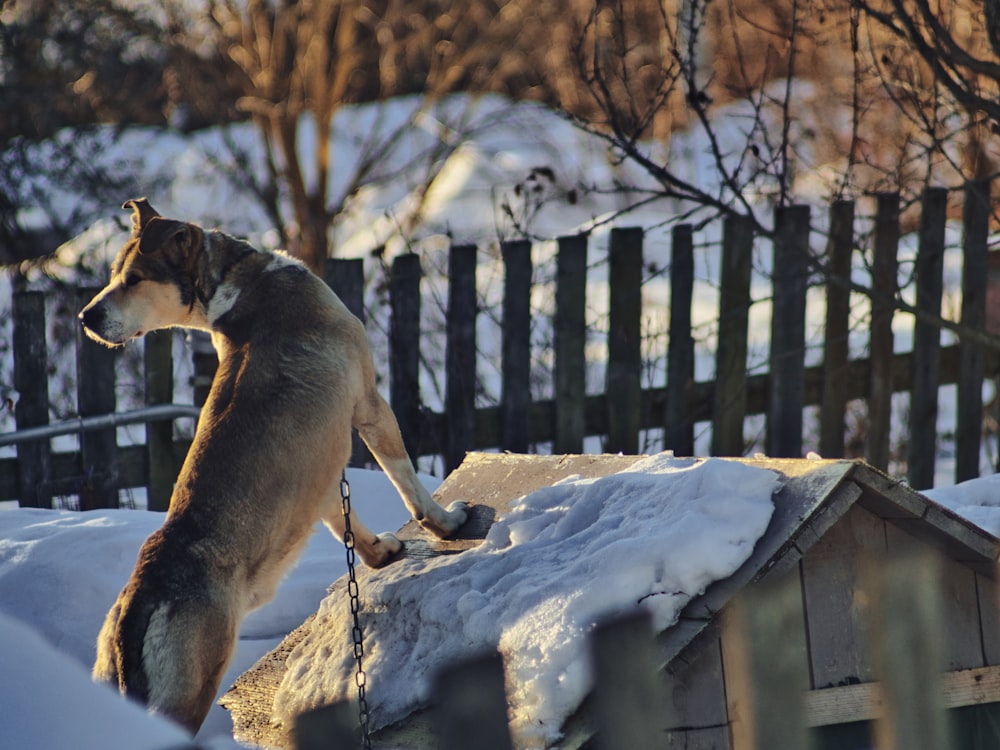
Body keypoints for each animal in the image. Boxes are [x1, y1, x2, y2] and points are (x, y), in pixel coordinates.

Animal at [79, 200, 468, 736]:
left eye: (131, 277)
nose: (86, 317)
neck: (237, 283)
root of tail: (137, 605)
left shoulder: (316, 473)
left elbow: (345, 525)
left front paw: (381, 553)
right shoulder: (369, 403)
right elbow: (406, 478)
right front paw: (447, 523)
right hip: (188, 689)